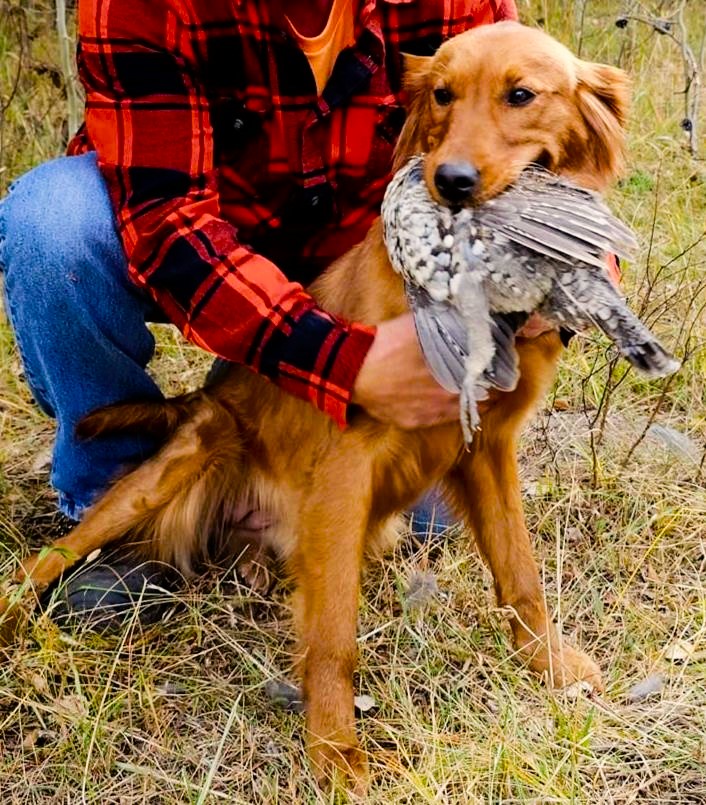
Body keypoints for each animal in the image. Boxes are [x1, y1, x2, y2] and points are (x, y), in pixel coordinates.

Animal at [0, 22, 628, 796]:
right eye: (442, 94)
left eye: (522, 95)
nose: (449, 181)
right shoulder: (345, 465)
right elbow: (332, 632)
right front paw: (335, 750)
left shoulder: (487, 450)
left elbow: (520, 570)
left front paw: (549, 664)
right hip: (164, 476)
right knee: (49, 557)